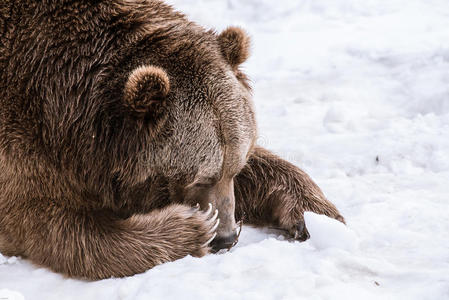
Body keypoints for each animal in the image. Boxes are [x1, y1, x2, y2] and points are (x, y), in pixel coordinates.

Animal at [0, 1, 344, 280]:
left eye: (235, 168)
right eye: (198, 178)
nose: (227, 238)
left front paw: (316, 215)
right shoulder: (24, 142)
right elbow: (56, 226)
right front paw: (194, 227)